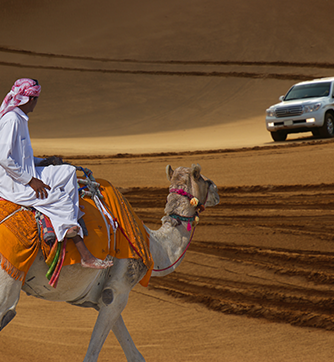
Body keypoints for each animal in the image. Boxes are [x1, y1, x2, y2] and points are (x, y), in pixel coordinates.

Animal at [0, 165, 219, 362]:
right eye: (204, 179)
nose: (216, 190)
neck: (153, 245)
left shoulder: (101, 298)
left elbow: (135, 355)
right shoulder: (118, 291)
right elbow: (92, 355)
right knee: (8, 309)